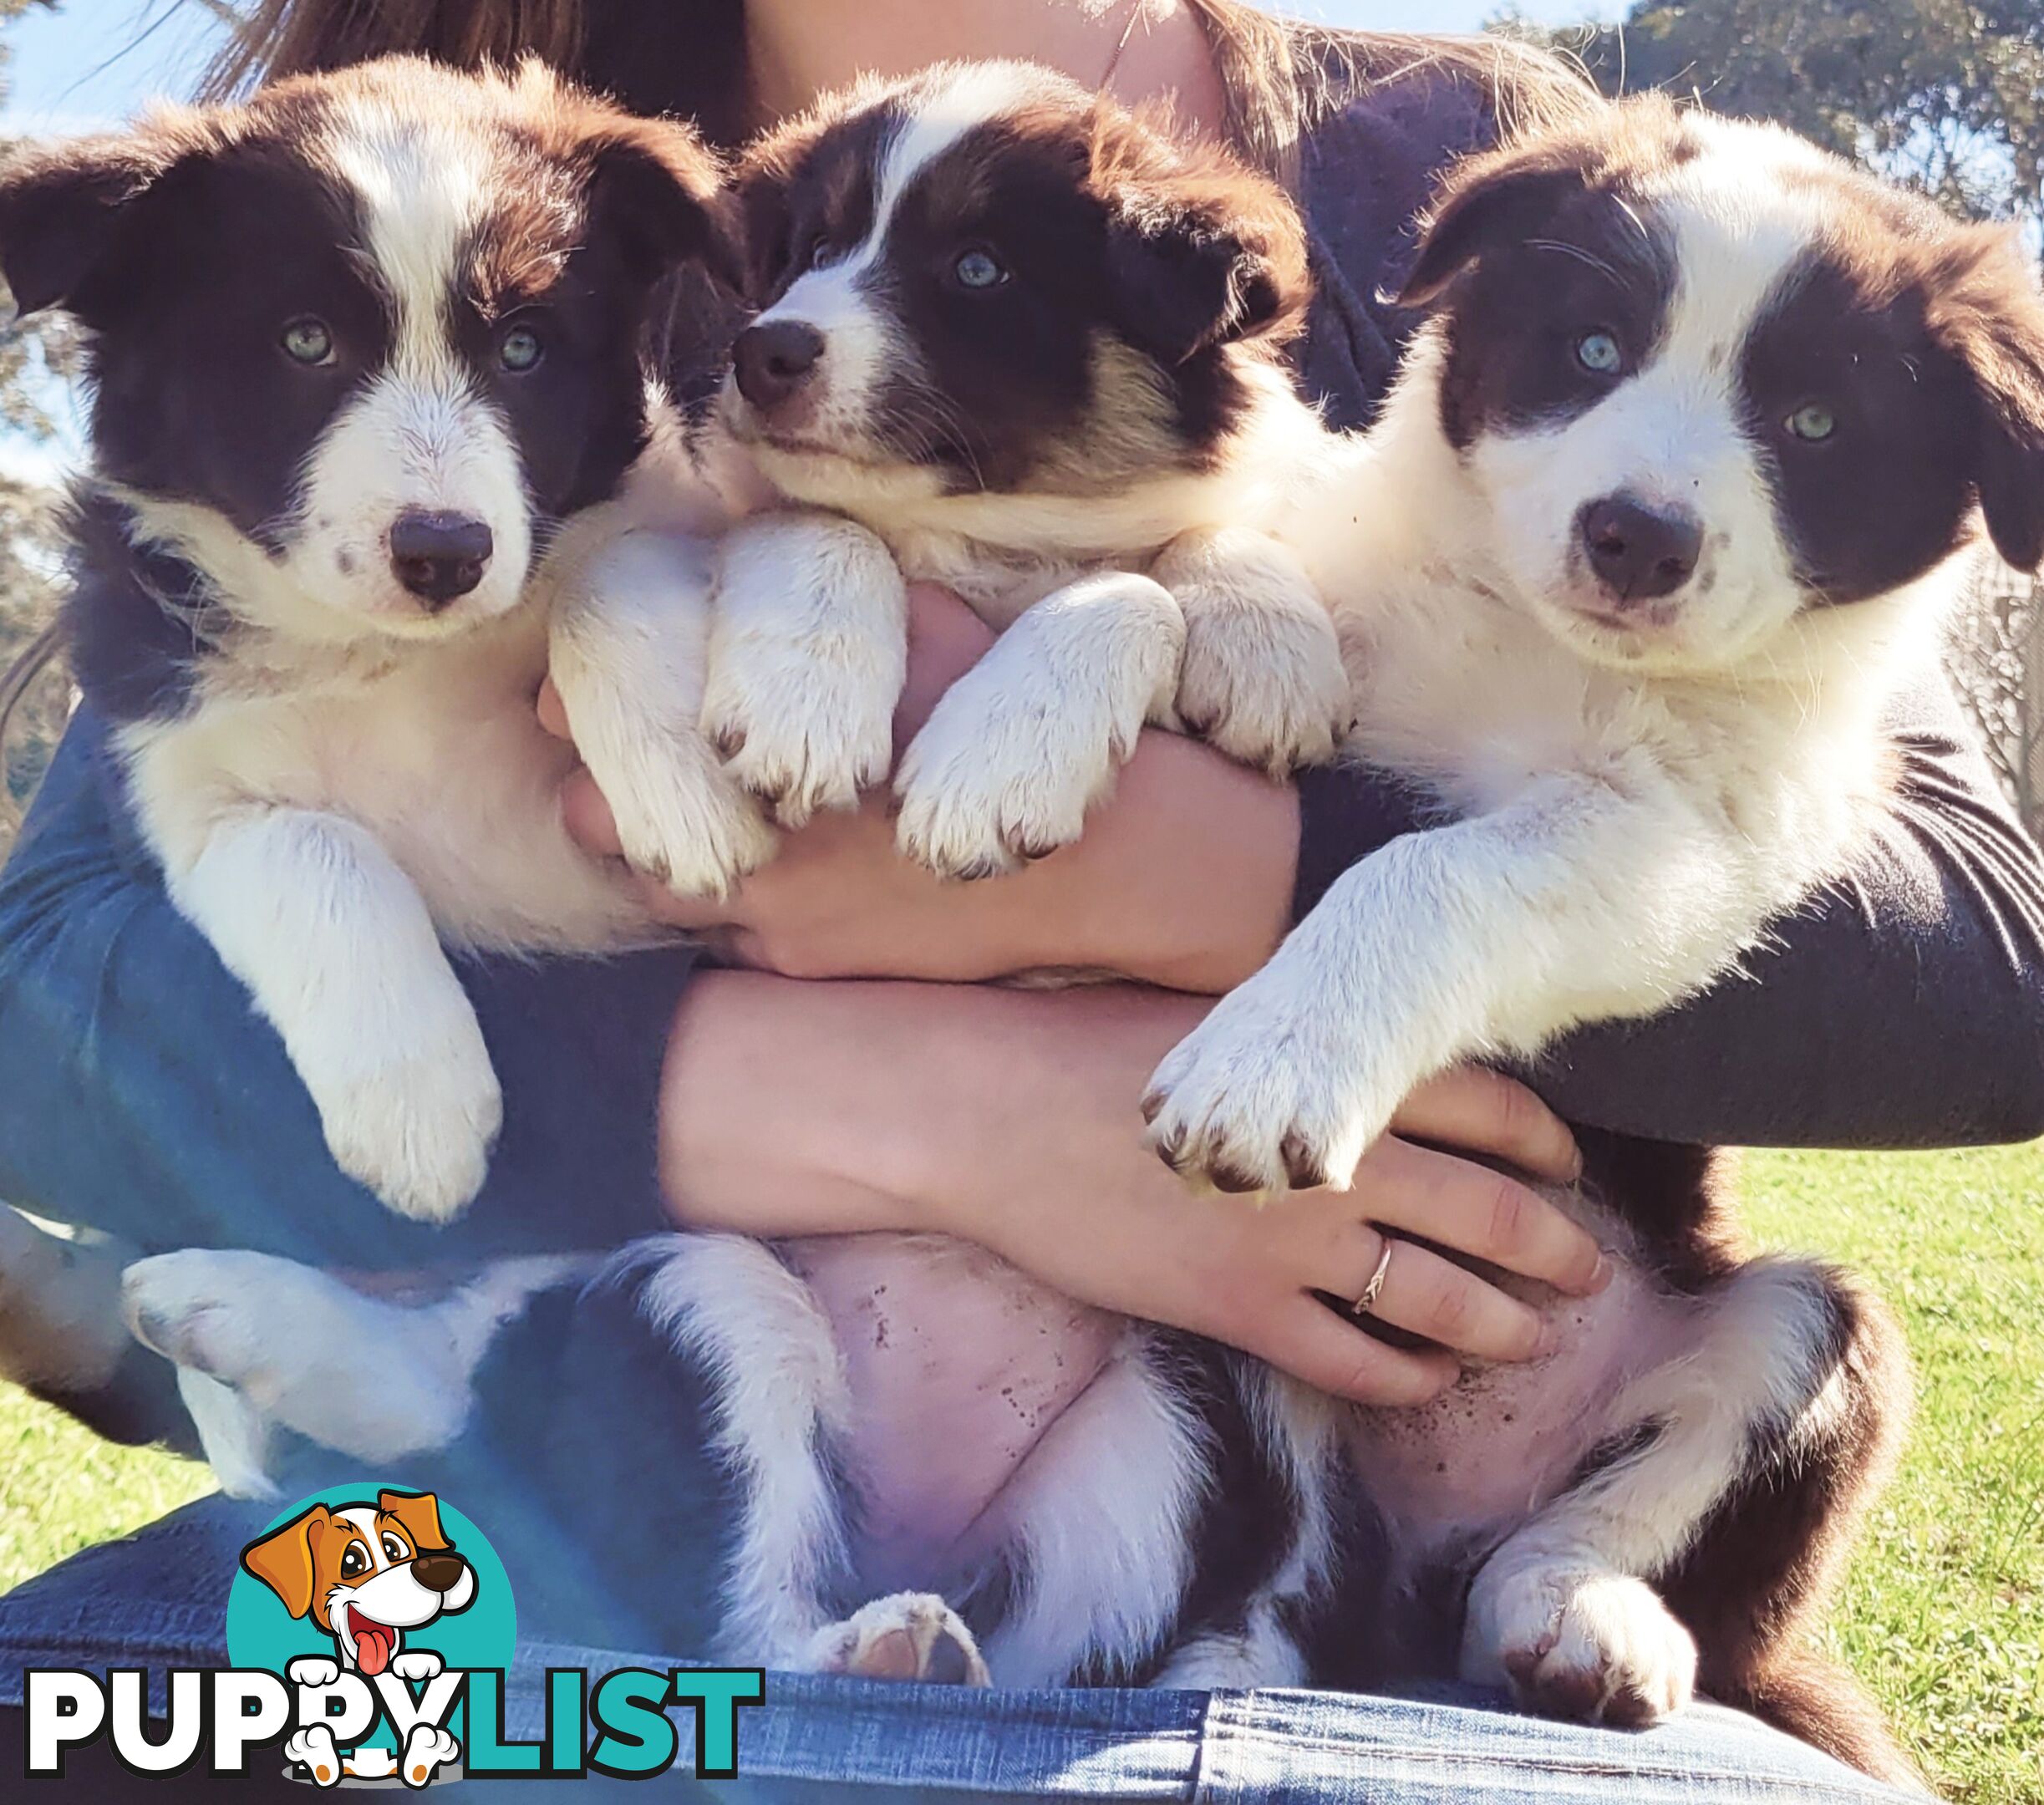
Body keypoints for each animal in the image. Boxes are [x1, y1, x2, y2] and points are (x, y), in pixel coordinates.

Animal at [0, 56, 768, 1218]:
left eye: (524, 349)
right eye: (305, 342)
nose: (446, 553)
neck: (396, 653)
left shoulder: (659, 514)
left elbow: (610, 573)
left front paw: (686, 793)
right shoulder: (184, 776)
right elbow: (312, 849)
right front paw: (420, 1116)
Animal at [694, 67, 1349, 887]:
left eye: (979, 269)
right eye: (815, 248)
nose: (760, 355)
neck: (1002, 529)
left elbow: (1154, 570)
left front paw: (1271, 652)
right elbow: (823, 522)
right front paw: (803, 703)